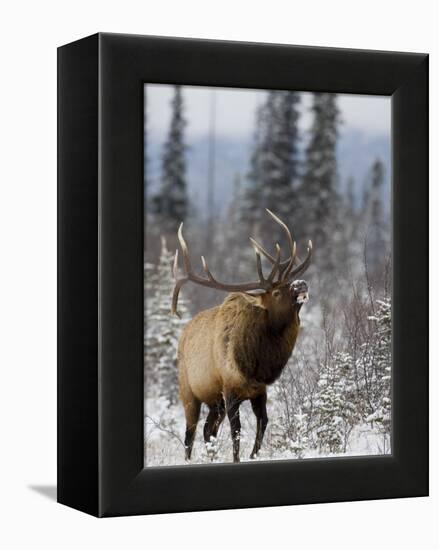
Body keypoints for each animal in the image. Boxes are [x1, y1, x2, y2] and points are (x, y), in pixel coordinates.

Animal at [172, 209, 312, 464]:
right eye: (276, 292)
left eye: (289, 283)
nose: (301, 283)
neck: (258, 363)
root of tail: (183, 334)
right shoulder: (230, 389)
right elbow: (236, 431)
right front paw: (238, 459)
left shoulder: (259, 391)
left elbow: (263, 423)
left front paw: (253, 455)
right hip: (188, 391)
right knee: (190, 433)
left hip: (214, 401)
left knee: (208, 430)